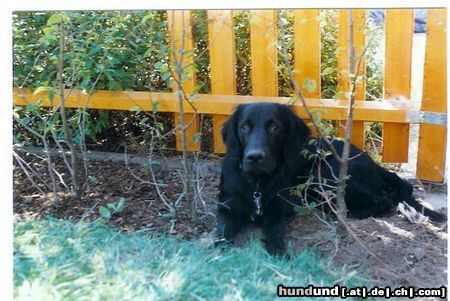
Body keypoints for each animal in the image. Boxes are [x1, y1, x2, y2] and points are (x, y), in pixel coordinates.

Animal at [216, 102, 444, 254]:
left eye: (275, 127)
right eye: (244, 127)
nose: (255, 157)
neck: (256, 183)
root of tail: (371, 161)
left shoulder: (277, 209)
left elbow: (274, 231)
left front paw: (278, 252)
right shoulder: (227, 207)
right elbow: (221, 234)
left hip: (328, 173)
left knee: (383, 201)